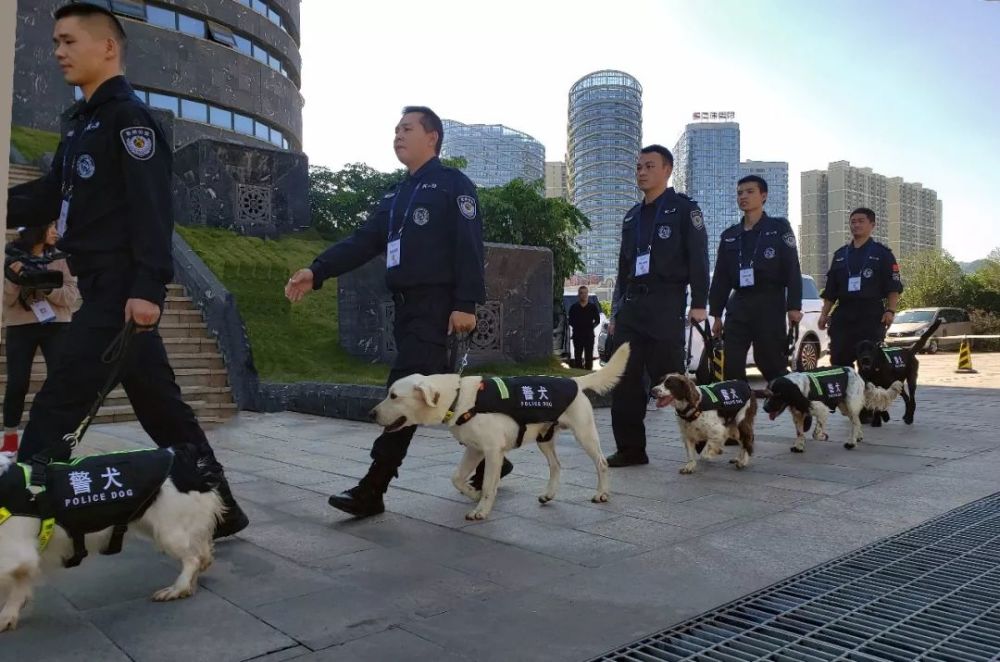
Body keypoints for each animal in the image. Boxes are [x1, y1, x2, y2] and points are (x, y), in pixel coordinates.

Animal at [0, 446, 223, 632]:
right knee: (202, 553)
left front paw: (6, 615)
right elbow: (20, 584)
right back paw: (191, 584)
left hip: (168, 532)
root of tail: (185, 462)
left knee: (192, 559)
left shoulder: (19, 554)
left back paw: (177, 589)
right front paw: (11, 612)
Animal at [372, 344, 628, 520]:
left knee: (601, 462)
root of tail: (575, 381)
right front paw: (472, 495)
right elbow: (456, 478)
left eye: (393, 396)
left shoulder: (492, 451)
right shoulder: (474, 450)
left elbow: (488, 485)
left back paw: (602, 494)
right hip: (544, 437)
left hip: (584, 433)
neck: (458, 398)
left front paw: (481, 510)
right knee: (556, 465)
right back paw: (548, 494)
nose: (371, 413)